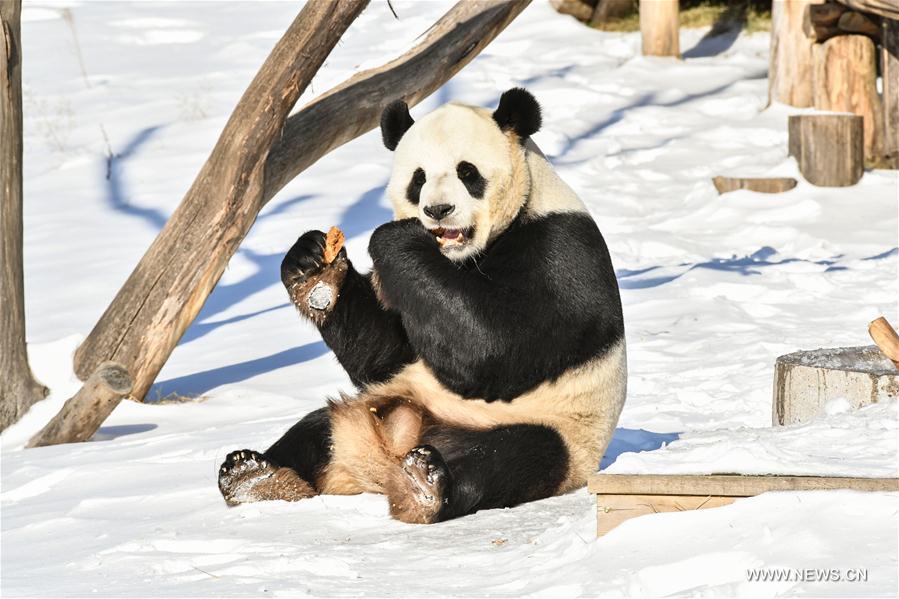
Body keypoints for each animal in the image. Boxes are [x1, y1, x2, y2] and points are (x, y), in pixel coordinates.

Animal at [217, 88, 627, 524]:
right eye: (419, 178)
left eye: (467, 172)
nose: (437, 211)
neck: (461, 257)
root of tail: (389, 455)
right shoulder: (410, 298)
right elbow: (384, 354)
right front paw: (313, 267)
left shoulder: (558, 248)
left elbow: (495, 348)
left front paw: (397, 239)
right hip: (381, 404)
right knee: (317, 430)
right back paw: (255, 476)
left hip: (556, 430)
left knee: (512, 457)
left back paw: (425, 484)